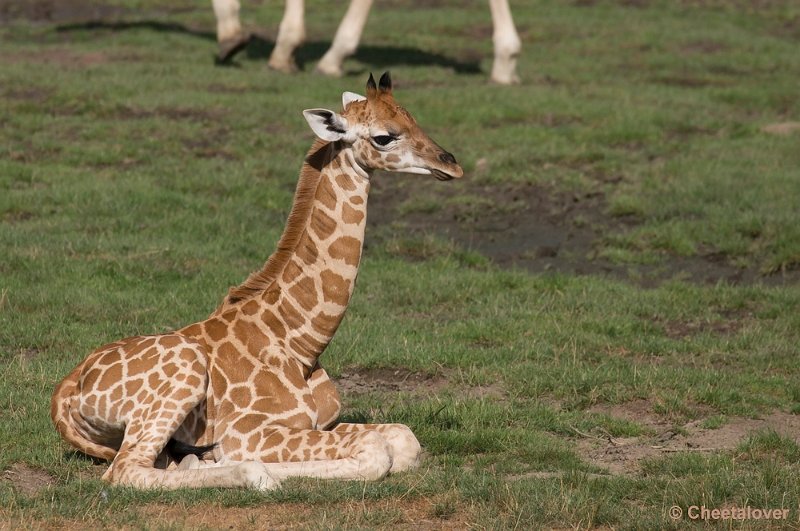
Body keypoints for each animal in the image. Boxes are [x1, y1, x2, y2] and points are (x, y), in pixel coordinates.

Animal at [51, 72, 462, 492]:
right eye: (384, 136)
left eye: (413, 119)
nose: (451, 164)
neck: (301, 342)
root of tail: (66, 391)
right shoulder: (251, 432)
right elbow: (376, 451)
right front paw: (247, 466)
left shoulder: (323, 422)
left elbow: (403, 439)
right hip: (183, 374)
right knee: (125, 469)